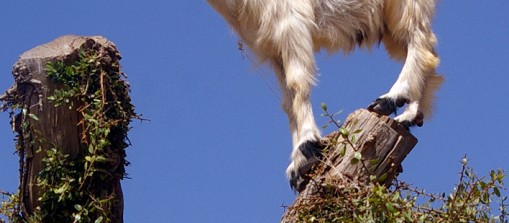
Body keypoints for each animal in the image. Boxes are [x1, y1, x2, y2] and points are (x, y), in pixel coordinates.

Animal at [206, 0, 440, 192]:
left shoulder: (291, 25)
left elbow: (297, 85)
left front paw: (307, 145)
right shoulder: (271, 48)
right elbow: (288, 102)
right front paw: (298, 165)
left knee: (420, 41)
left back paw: (391, 99)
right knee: (426, 53)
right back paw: (409, 116)